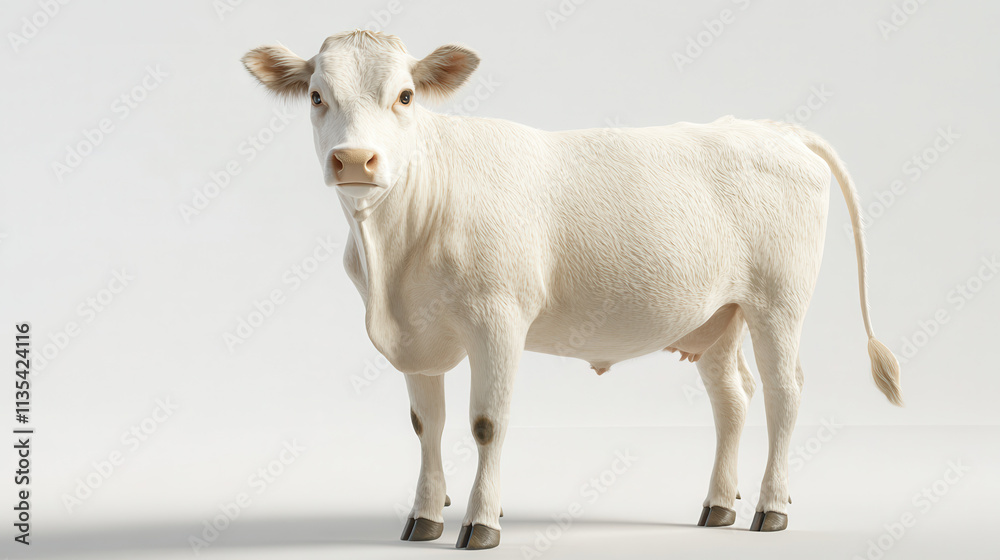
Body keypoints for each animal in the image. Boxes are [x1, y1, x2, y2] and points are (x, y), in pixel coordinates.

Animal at [242, 30, 902, 550]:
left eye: (405, 96)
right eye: (317, 96)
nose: (356, 159)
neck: (393, 265)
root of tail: (769, 128)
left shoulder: (498, 318)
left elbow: (487, 422)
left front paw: (481, 524)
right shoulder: (417, 335)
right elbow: (426, 425)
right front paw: (424, 517)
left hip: (779, 303)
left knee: (784, 394)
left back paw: (770, 508)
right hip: (721, 314)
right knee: (733, 400)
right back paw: (717, 507)